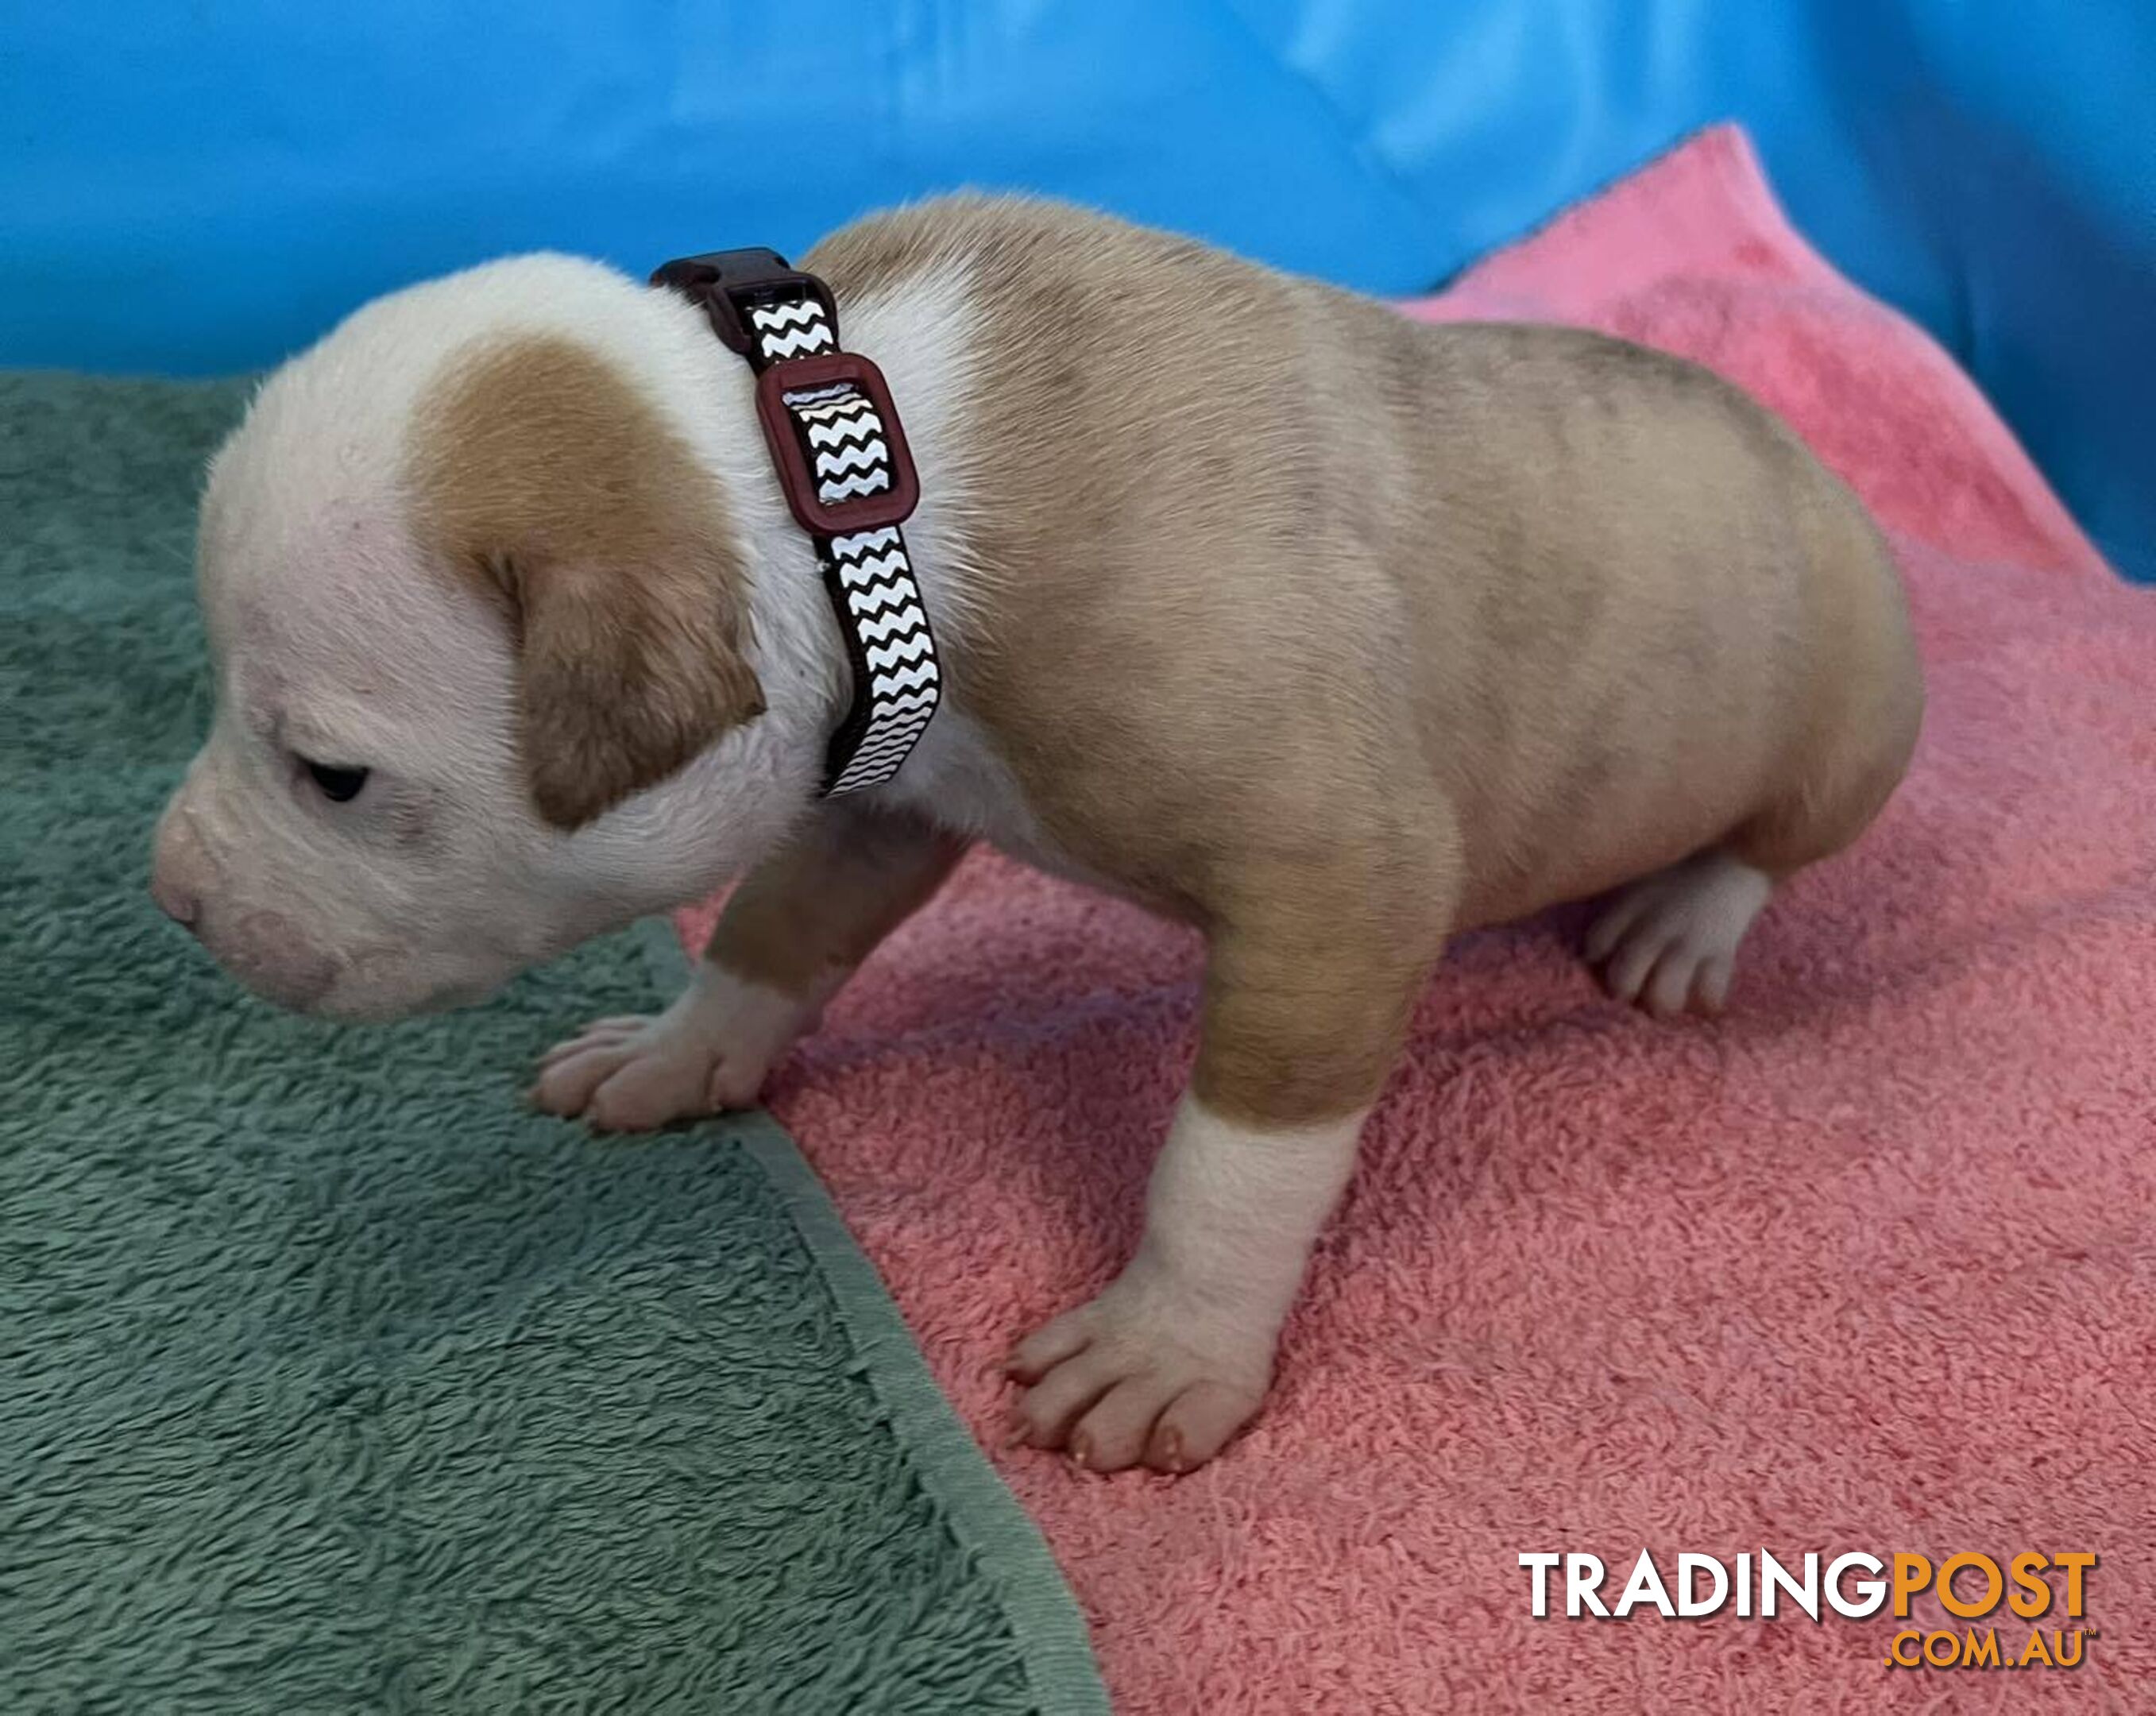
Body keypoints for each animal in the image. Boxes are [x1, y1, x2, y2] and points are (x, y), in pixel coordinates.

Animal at [159, 191, 1931, 1474]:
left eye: (329, 774)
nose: (172, 893)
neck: (843, 470)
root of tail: (1819, 470)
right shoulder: (878, 774)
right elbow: (773, 930)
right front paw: (681, 1050)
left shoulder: (1338, 881)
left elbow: (1236, 1155)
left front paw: (1168, 1344)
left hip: (1847, 721)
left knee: (1771, 843)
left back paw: (1685, 920)